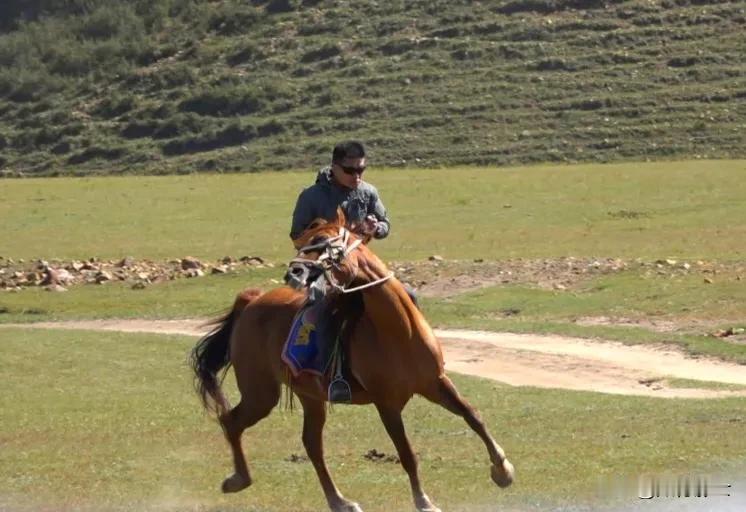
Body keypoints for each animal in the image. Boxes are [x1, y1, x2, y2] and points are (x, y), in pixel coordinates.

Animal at [190, 209, 512, 512]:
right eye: (302, 242)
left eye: (322, 241)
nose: (293, 273)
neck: (398, 330)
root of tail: (251, 302)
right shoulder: (387, 403)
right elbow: (407, 453)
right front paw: (424, 501)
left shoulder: (436, 383)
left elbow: (473, 416)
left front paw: (503, 470)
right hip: (261, 394)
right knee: (231, 421)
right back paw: (238, 479)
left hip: (309, 396)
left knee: (312, 444)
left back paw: (340, 501)